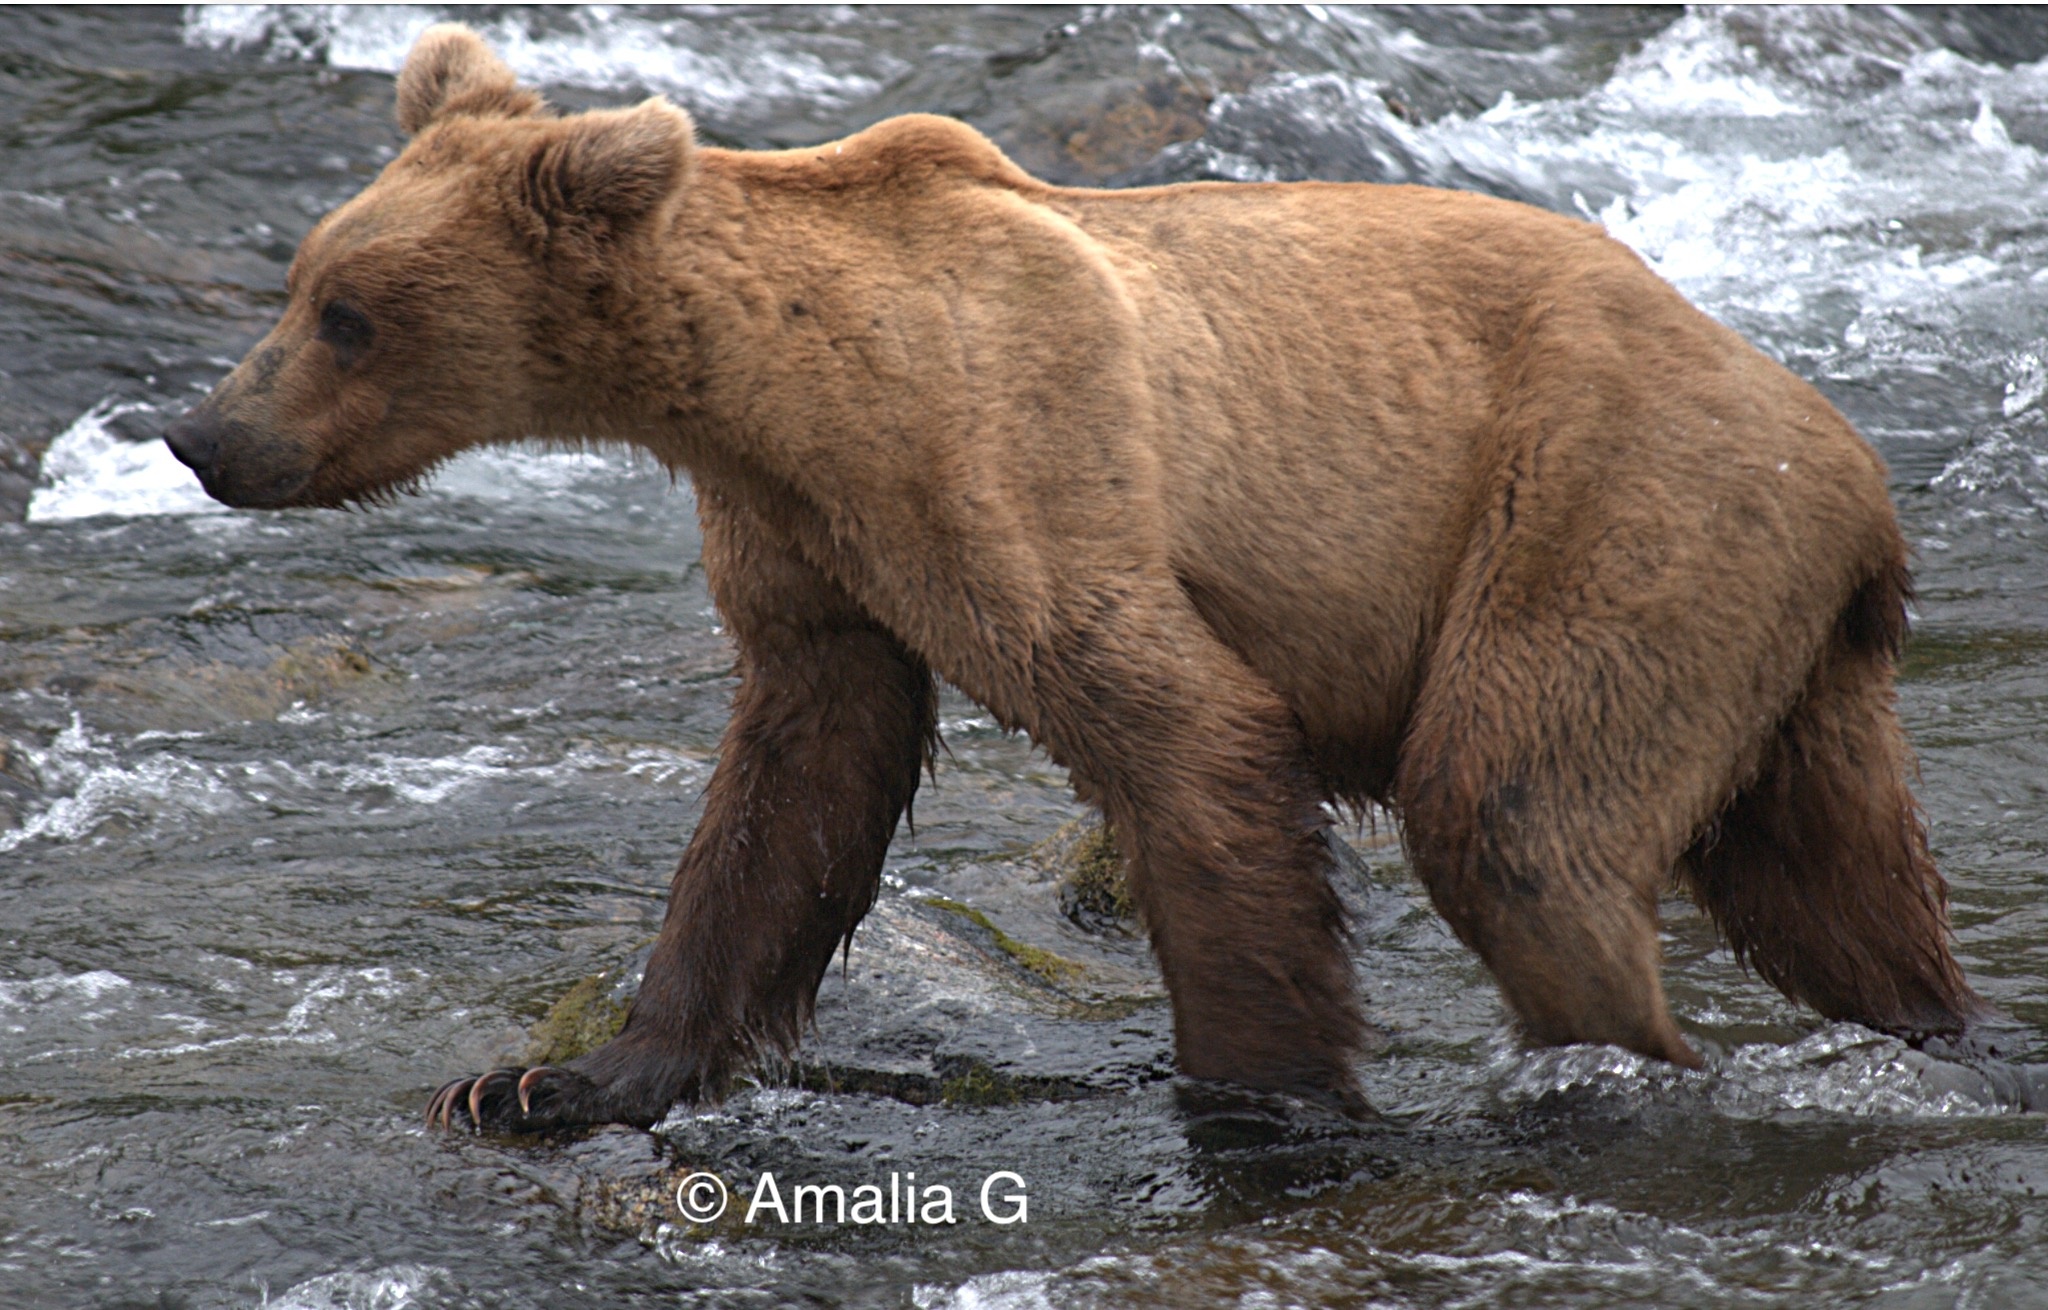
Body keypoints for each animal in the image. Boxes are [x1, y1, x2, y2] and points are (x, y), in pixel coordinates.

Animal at [163, 25, 1982, 1129]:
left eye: (347, 314)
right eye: (303, 283)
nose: (203, 434)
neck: (775, 386)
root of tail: (1851, 467)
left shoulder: (1001, 461)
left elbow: (1181, 735)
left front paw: (1265, 1099)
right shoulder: (808, 548)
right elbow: (787, 794)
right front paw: (562, 1079)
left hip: (1611, 511)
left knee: (1513, 808)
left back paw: (1617, 1059)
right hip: (1771, 636)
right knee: (1835, 880)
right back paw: (1931, 1024)